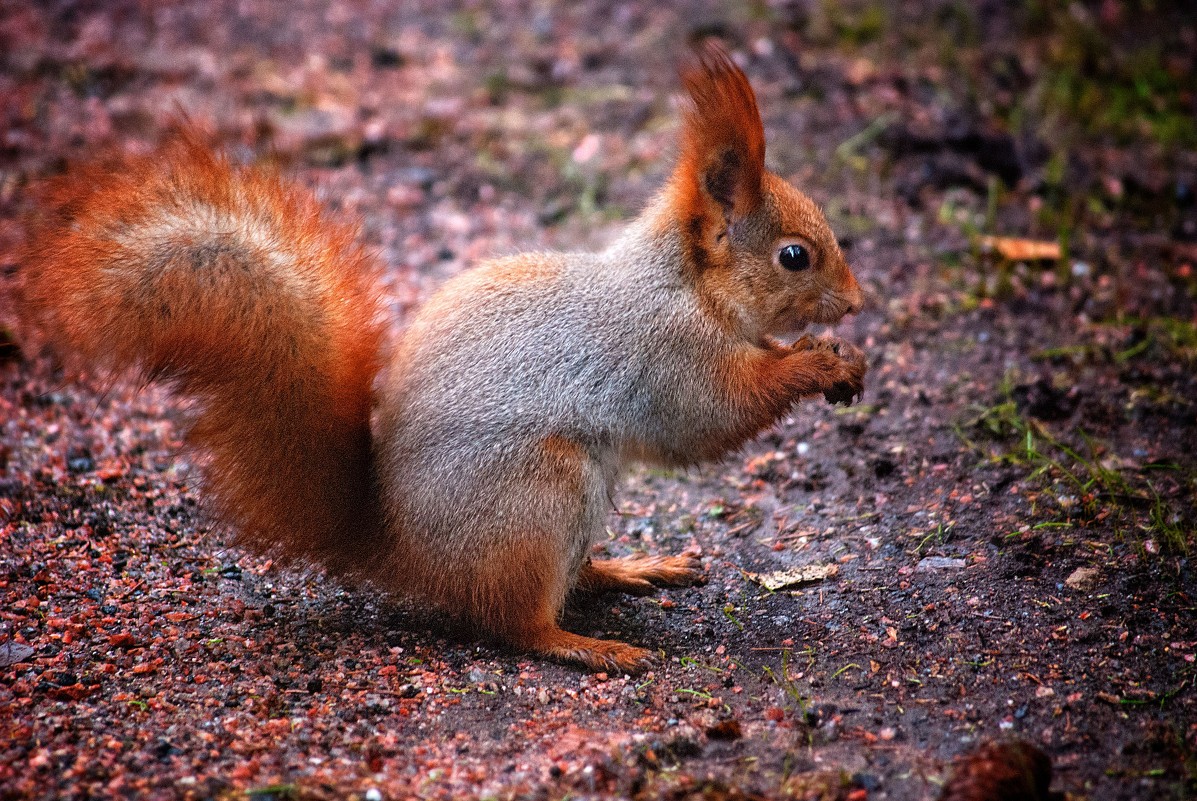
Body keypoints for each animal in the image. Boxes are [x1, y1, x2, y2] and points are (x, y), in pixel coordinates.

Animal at [23, 42, 866, 670]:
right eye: (794, 255)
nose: (857, 302)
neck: (682, 283)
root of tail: (396, 548)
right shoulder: (663, 353)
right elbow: (710, 418)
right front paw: (816, 364)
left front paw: (839, 355)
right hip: (539, 493)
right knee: (515, 622)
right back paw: (587, 645)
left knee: (567, 578)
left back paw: (630, 568)